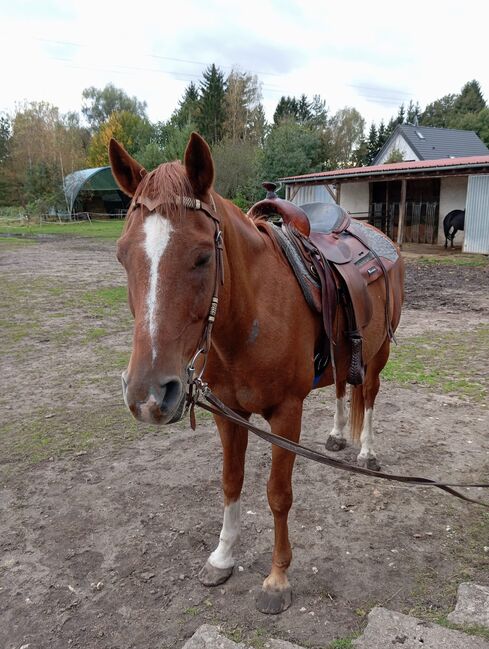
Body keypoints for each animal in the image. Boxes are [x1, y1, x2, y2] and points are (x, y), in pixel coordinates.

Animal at [109, 133, 404, 612]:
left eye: (203, 257)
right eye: (121, 256)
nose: (148, 396)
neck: (248, 317)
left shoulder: (286, 414)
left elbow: (278, 494)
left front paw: (277, 578)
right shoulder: (228, 414)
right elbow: (231, 482)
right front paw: (223, 557)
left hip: (379, 353)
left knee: (371, 395)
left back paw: (365, 451)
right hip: (346, 353)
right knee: (343, 387)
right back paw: (339, 435)